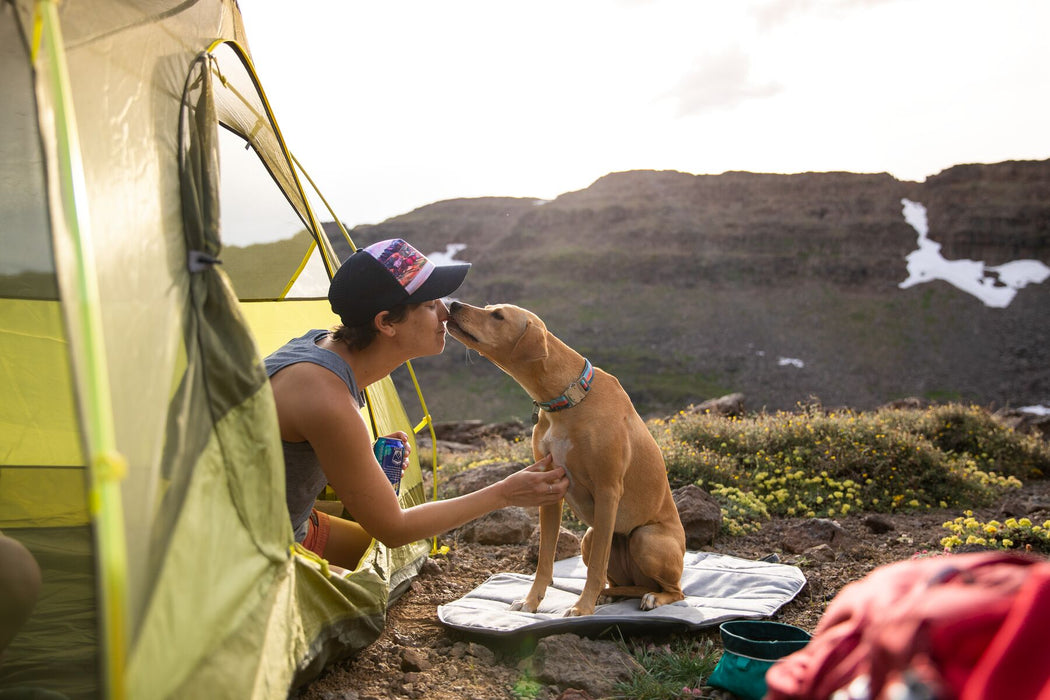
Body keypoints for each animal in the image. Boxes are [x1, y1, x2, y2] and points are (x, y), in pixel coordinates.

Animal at [445, 302, 684, 617]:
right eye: (487, 308)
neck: (568, 399)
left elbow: (595, 568)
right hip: (591, 537)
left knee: (675, 591)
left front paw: (582, 607)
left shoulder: (608, 490)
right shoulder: (549, 487)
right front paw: (531, 601)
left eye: (498, 315)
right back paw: (612, 595)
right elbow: (545, 560)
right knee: (626, 582)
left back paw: (653, 598)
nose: (453, 304)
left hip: (645, 538)